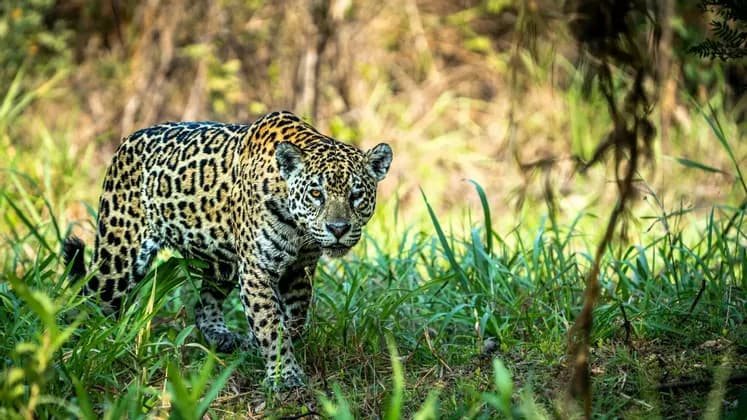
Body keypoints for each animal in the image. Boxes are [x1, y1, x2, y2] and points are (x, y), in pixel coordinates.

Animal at [62, 110, 392, 389]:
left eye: (356, 195)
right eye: (316, 193)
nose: (338, 228)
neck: (298, 227)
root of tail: (126, 141)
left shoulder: (300, 270)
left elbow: (295, 321)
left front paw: (268, 351)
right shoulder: (258, 270)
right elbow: (271, 325)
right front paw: (284, 376)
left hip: (224, 264)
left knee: (202, 306)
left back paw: (224, 338)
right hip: (118, 259)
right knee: (88, 301)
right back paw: (80, 350)